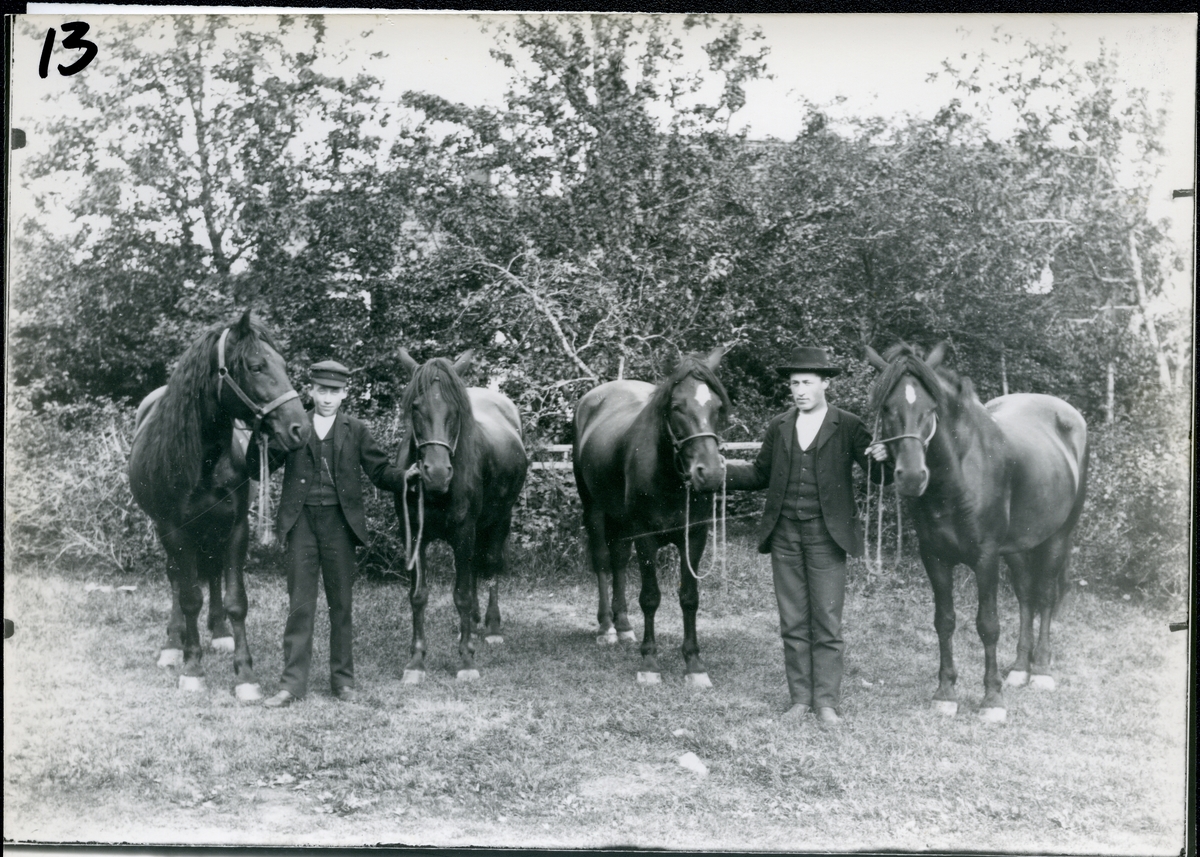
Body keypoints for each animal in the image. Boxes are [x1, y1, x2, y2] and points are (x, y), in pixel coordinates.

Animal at [128, 311, 309, 699]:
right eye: (256, 366)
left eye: (283, 364)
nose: (299, 429)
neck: (204, 459)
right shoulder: (174, 530)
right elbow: (188, 597)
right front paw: (192, 668)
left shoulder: (236, 527)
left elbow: (236, 600)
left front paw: (245, 675)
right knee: (176, 578)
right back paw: (173, 643)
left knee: (210, 574)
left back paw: (220, 632)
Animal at [392, 348, 528, 682]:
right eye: (415, 406)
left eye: (455, 409)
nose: (437, 473)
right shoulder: (413, 536)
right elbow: (419, 595)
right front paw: (416, 661)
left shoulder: (464, 533)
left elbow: (463, 594)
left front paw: (466, 659)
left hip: (500, 519)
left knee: (489, 565)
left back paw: (491, 627)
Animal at [573, 347, 730, 687]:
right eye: (676, 407)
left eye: (718, 406)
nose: (710, 473)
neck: (669, 475)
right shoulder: (645, 536)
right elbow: (650, 597)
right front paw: (649, 662)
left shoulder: (695, 537)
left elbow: (689, 597)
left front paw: (694, 664)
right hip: (594, 510)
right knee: (603, 562)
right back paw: (606, 627)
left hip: (621, 520)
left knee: (619, 561)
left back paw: (623, 625)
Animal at [866, 343, 1089, 722]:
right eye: (886, 407)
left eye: (931, 409)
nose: (911, 477)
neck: (958, 476)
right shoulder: (934, 557)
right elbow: (944, 621)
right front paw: (945, 693)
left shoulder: (985, 559)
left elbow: (988, 625)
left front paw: (992, 699)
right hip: (1018, 548)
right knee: (1026, 597)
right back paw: (1019, 668)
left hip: (1058, 537)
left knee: (1044, 597)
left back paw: (1041, 671)